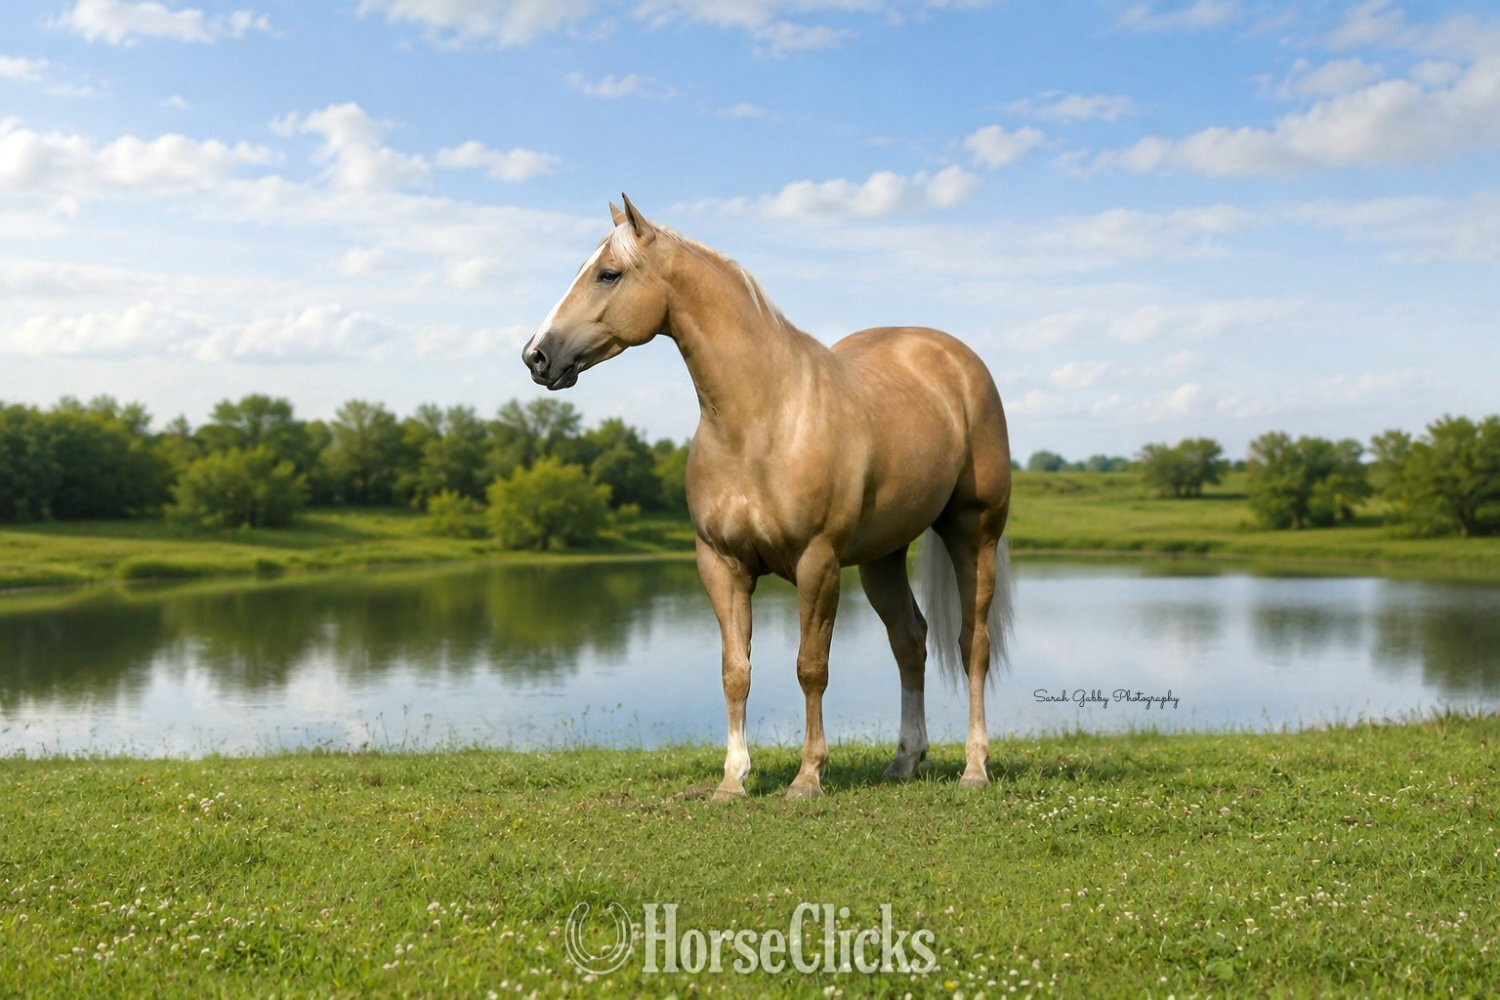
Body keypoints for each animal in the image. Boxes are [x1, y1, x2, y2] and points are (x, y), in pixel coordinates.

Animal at [524, 195, 1012, 800]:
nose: (537, 356)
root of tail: (956, 360)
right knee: (910, 640)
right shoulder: (721, 564)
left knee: (973, 643)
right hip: (882, 557)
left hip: (974, 533)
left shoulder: (816, 563)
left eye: (608, 274)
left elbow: (811, 667)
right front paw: (732, 780)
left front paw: (807, 778)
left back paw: (975, 767)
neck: (762, 420)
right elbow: (736, 670)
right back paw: (905, 761)